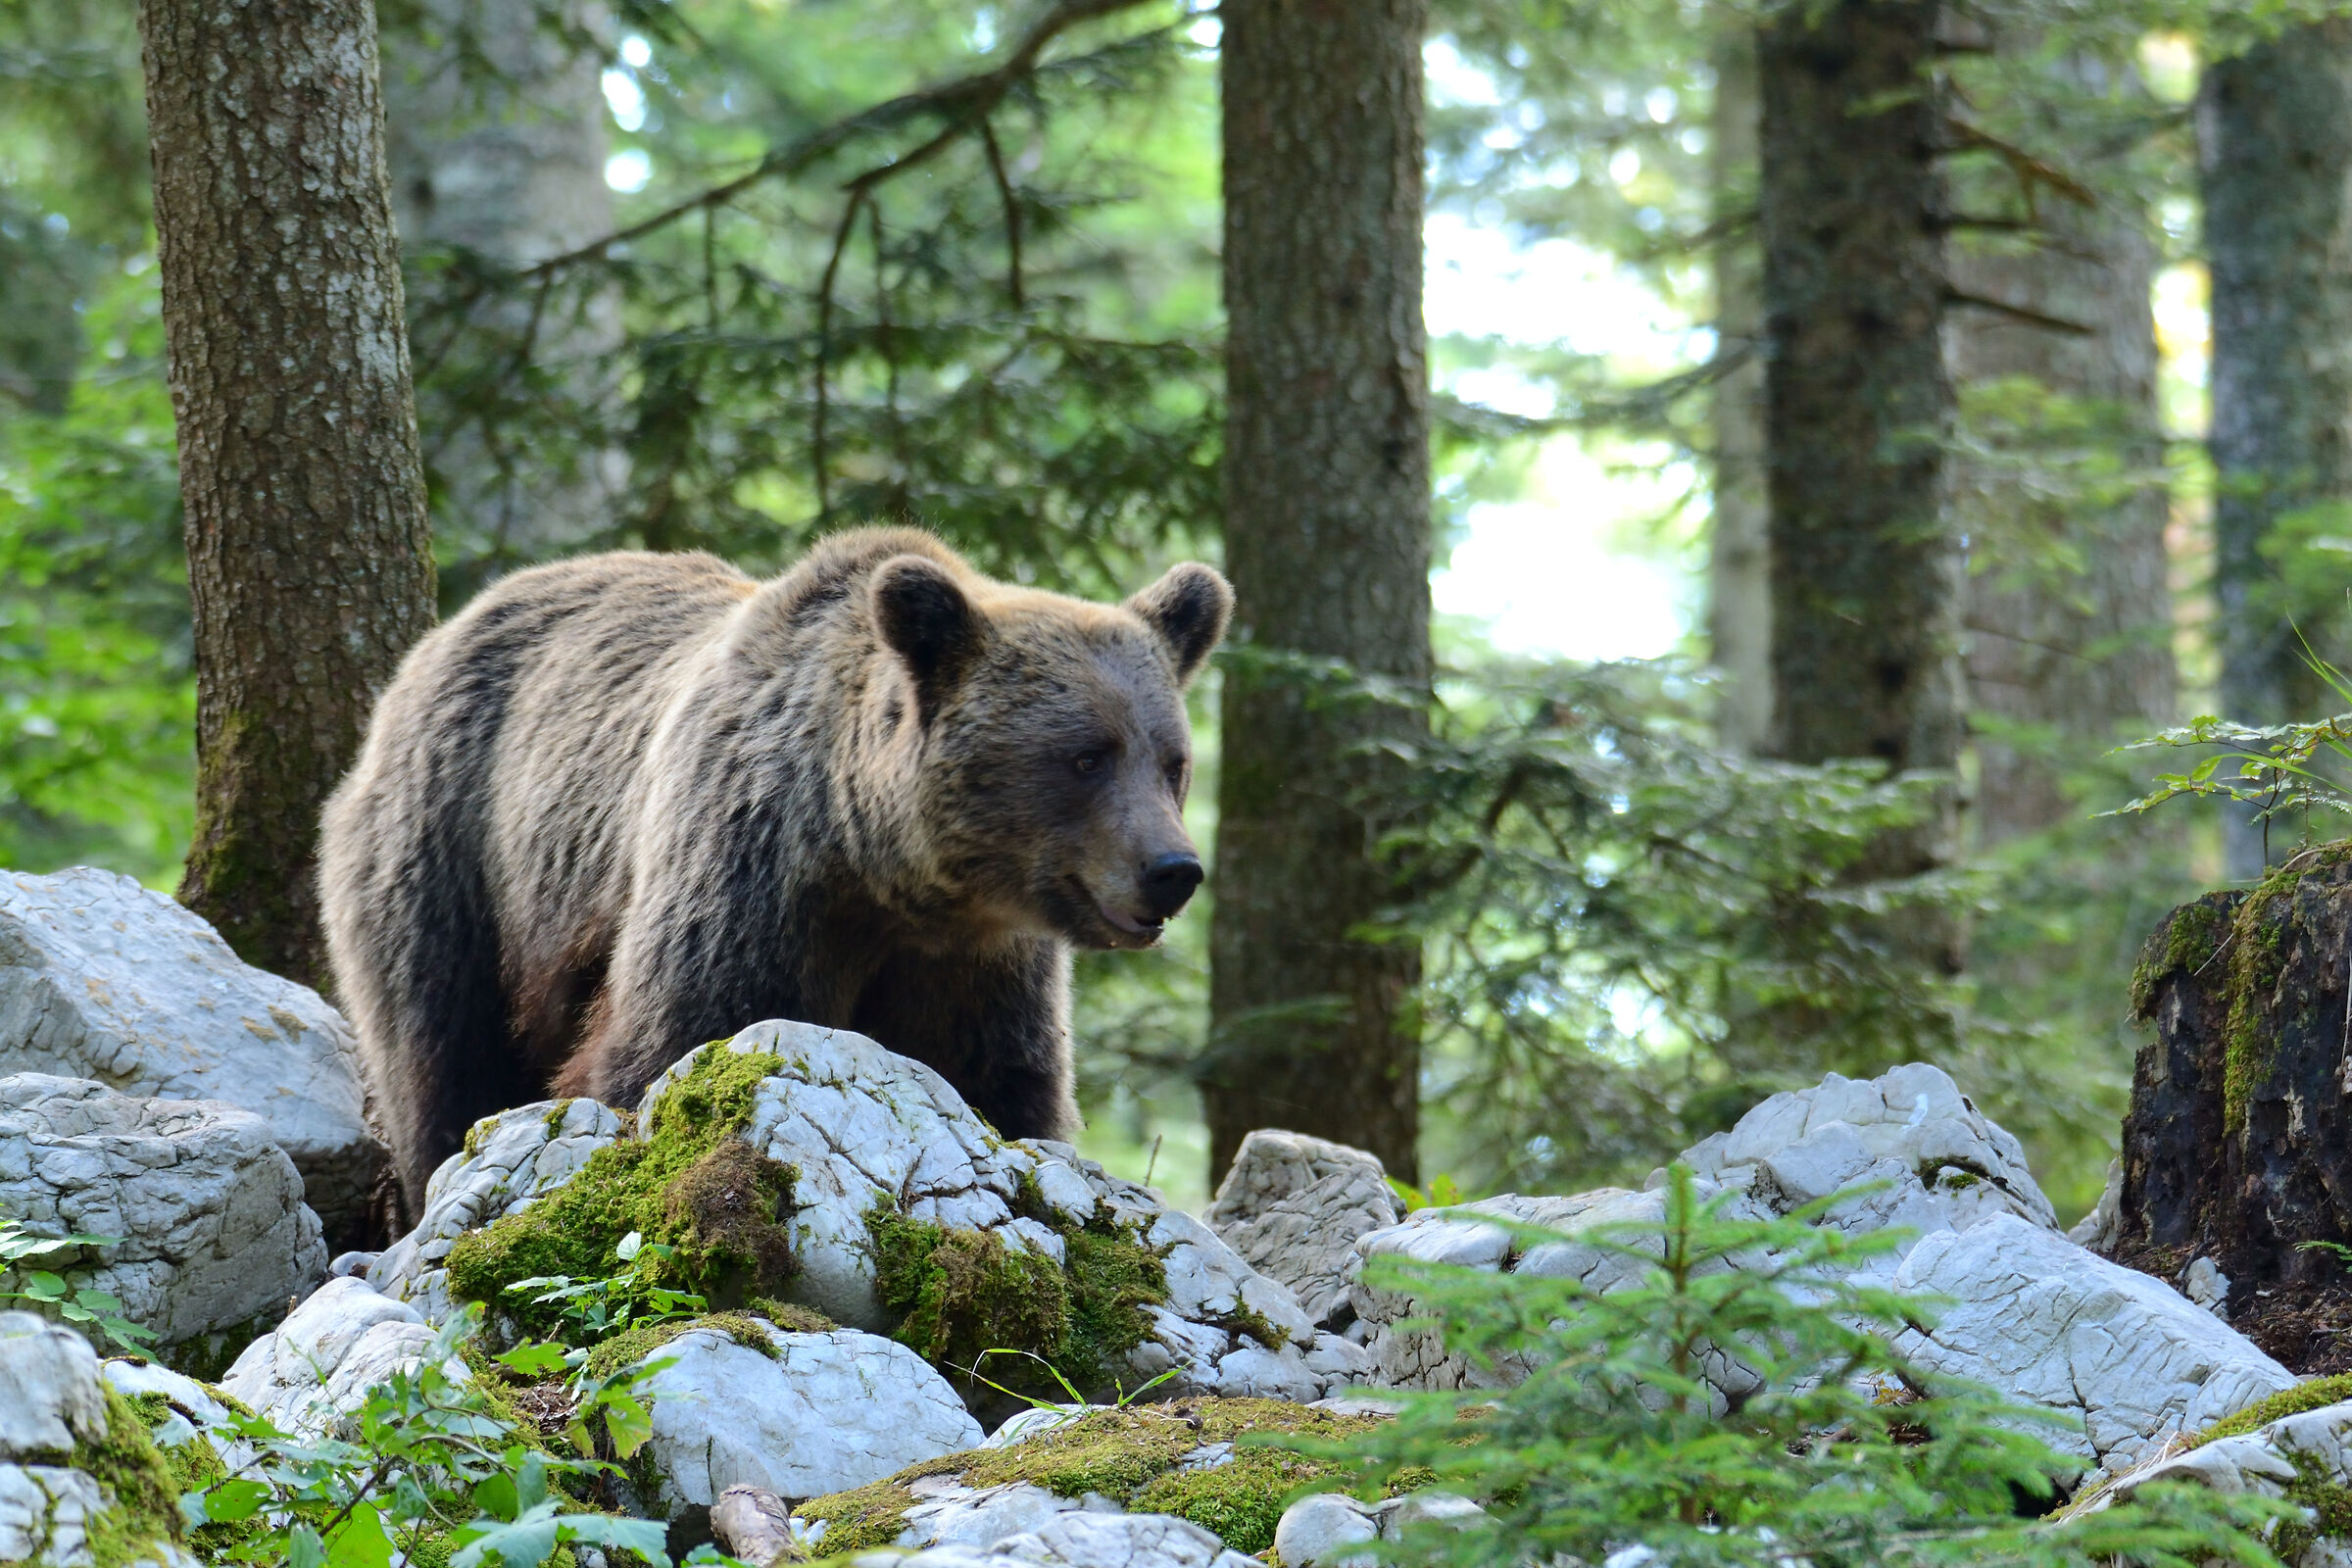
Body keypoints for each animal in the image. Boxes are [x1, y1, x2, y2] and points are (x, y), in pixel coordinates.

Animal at [318, 527, 1233, 1213]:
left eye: (1172, 761)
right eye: (1086, 756)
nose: (1173, 869)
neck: (885, 875)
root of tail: (444, 634)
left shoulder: (976, 963)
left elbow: (1001, 1083)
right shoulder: (748, 874)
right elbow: (678, 1041)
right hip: (452, 850)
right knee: (440, 1048)